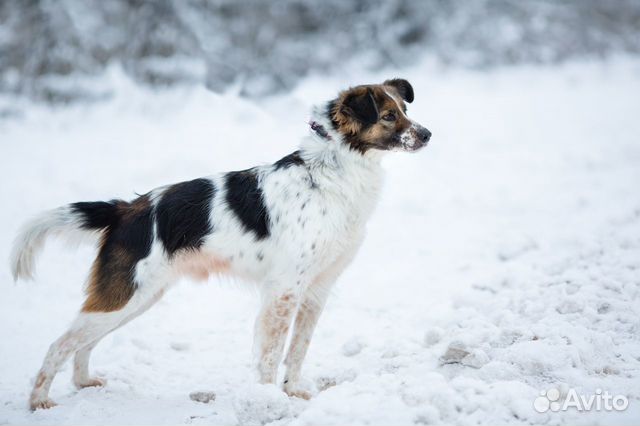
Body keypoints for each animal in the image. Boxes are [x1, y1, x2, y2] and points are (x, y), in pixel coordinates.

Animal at [10, 79, 430, 410]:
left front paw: (293, 391)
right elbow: (271, 354)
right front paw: (268, 401)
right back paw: (39, 400)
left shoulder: (316, 289)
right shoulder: (283, 291)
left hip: (137, 298)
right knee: (59, 344)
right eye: (388, 116)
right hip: (126, 296)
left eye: (405, 109)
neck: (332, 170)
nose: (427, 134)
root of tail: (128, 208)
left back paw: (83, 382)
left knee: (83, 344)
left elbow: (297, 351)